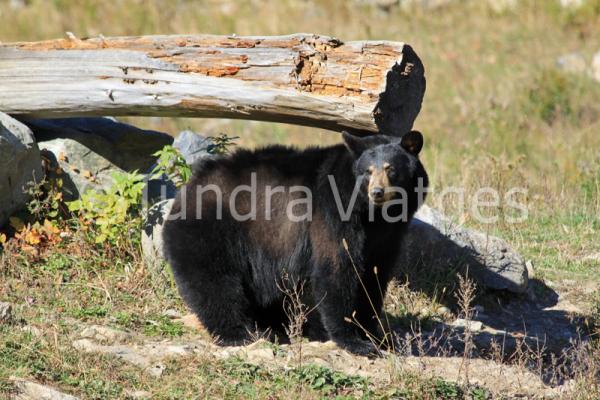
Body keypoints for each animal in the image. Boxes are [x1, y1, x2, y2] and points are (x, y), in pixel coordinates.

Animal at [163, 130, 426, 354]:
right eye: (367, 171)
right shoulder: (333, 212)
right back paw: (239, 333)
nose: (377, 192)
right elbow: (336, 268)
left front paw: (375, 334)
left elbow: (374, 275)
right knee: (214, 282)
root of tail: (188, 187)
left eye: (391, 169)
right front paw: (353, 341)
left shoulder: (388, 235)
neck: (373, 214)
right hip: (211, 230)